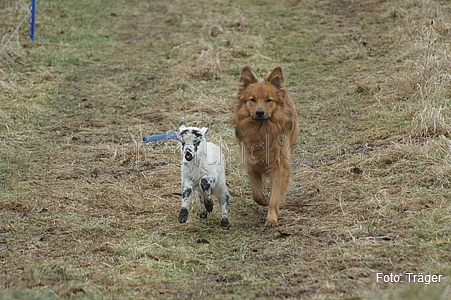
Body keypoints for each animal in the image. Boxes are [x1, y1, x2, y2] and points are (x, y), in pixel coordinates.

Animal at [235, 65, 298, 225]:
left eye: (269, 100)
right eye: (252, 100)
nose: (259, 112)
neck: (261, 131)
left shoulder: (280, 165)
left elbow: (275, 195)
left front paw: (272, 217)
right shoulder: (251, 164)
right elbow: (256, 193)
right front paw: (263, 202)